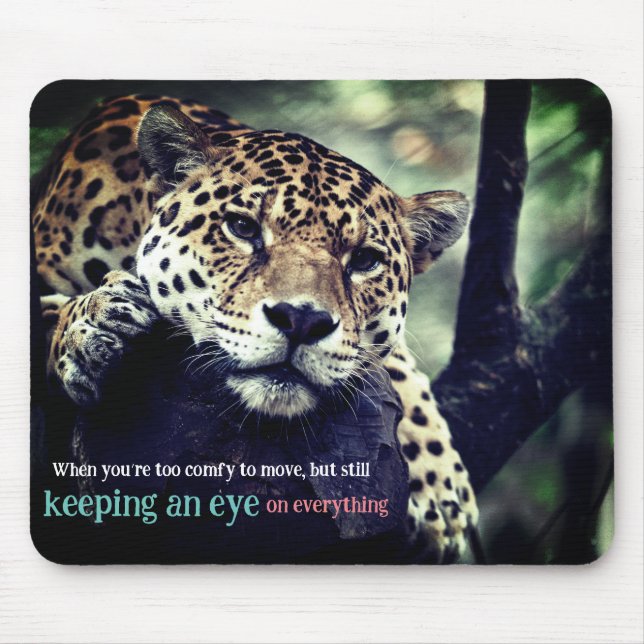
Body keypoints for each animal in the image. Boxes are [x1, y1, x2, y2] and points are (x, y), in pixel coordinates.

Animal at [32, 94, 479, 560]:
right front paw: (93, 326)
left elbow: (394, 366)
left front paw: (440, 490)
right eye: (243, 228)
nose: (301, 320)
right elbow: (47, 316)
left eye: (364, 259)